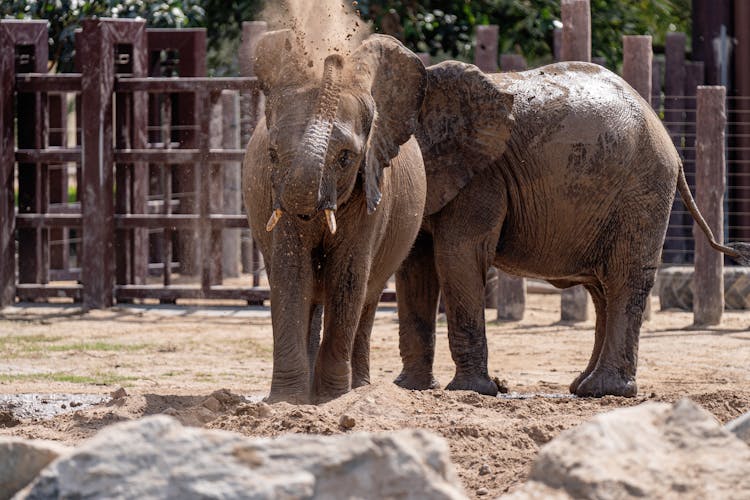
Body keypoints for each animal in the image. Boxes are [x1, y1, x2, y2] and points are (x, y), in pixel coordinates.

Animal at [241, 31, 428, 404]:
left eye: (345, 158)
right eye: (272, 154)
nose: (334, 58)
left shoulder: (371, 186)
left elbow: (348, 276)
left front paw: (331, 399)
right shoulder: (277, 191)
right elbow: (291, 272)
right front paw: (287, 401)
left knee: (367, 298)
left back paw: (358, 388)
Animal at [394, 60, 750, 398]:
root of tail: (672, 147)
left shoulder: (483, 176)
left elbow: (458, 256)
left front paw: (469, 390)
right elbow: (414, 265)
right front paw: (411, 388)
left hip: (642, 191)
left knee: (625, 279)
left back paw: (605, 390)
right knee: (602, 290)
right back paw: (584, 386)